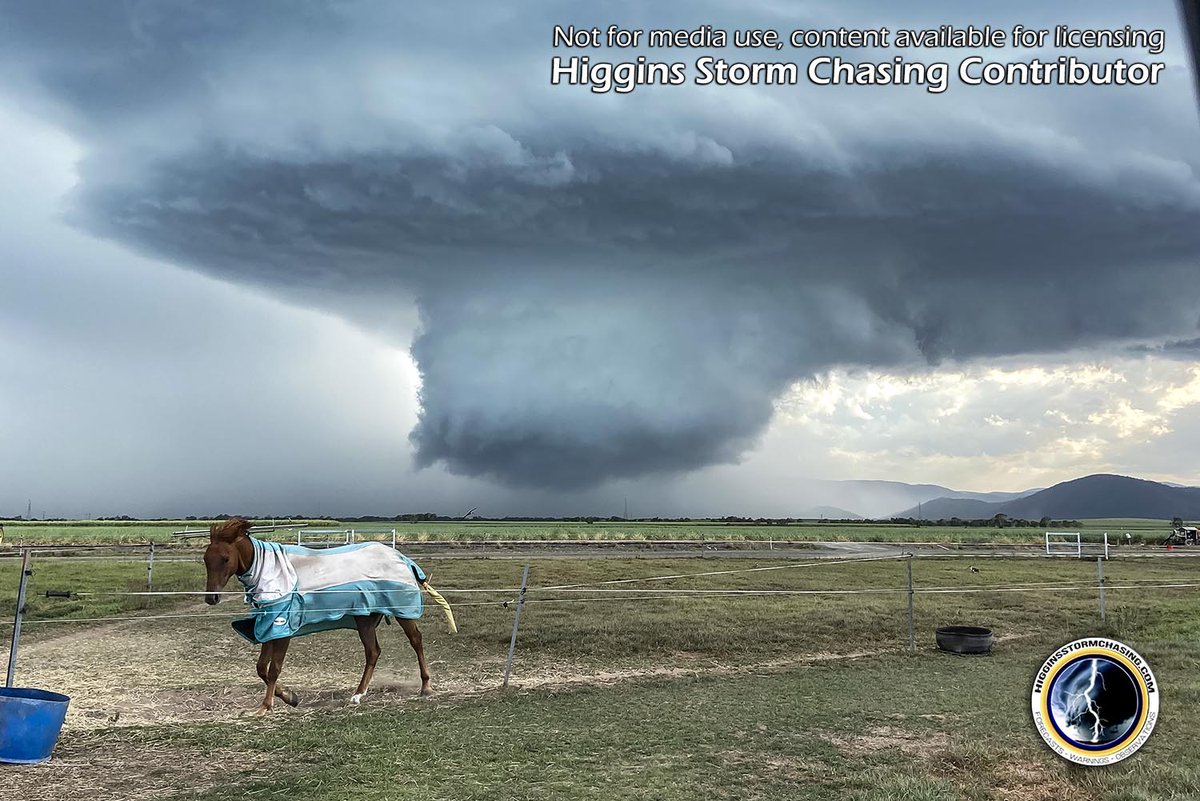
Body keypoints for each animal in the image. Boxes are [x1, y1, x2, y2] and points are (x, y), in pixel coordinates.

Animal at [204, 520, 456, 714]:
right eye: (206, 559)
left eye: (225, 558)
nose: (211, 598)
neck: (270, 572)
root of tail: (402, 558)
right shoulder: (267, 626)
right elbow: (261, 668)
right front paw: (290, 697)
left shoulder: (282, 628)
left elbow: (273, 668)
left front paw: (266, 706)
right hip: (364, 619)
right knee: (373, 652)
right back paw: (358, 694)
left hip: (402, 611)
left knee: (416, 640)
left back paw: (425, 687)